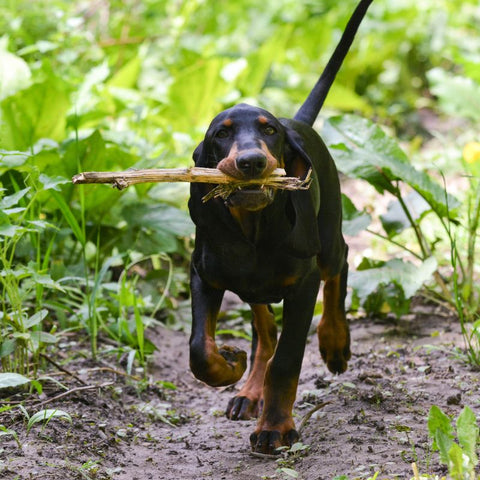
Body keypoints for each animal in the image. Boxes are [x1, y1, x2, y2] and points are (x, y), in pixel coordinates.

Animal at [188, 0, 376, 456]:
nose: (252, 162)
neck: (254, 229)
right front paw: (230, 365)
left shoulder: (302, 284)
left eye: (269, 130)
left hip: (326, 240)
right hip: (252, 285)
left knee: (339, 267)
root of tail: (299, 119)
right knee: (264, 328)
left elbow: (287, 360)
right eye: (221, 135)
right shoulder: (204, 275)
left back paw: (334, 343)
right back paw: (248, 390)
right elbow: (201, 350)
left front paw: (275, 428)